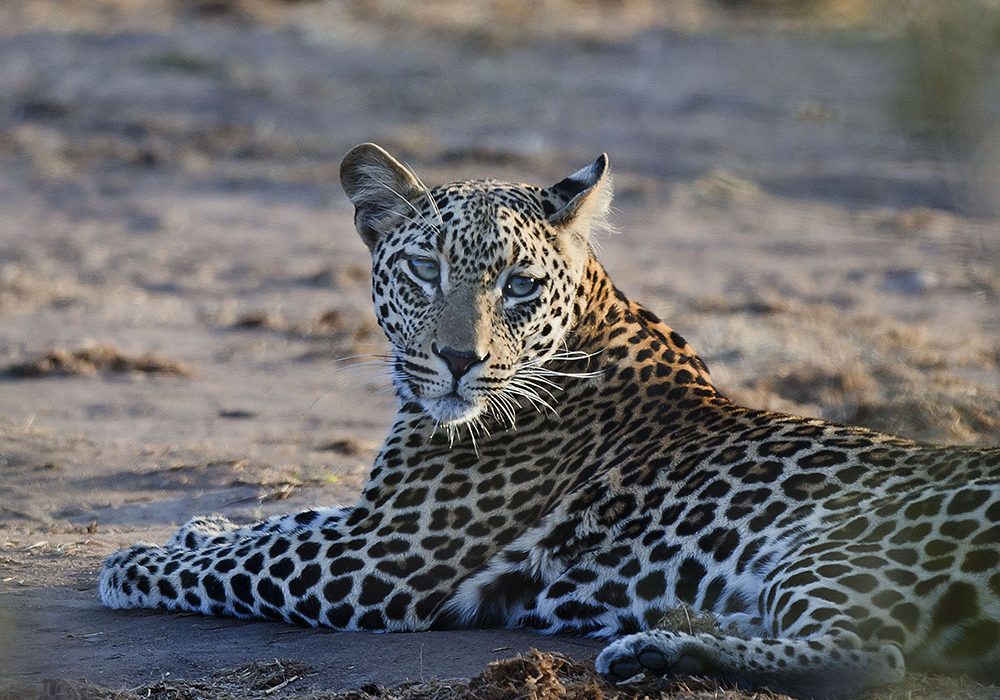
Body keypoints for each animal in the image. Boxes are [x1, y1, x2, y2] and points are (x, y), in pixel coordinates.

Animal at [100, 143, 1000, 699]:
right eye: (423, 269)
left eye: (519, 285)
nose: (458, 359)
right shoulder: (377, 514)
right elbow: (281, 522)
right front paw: (200, 525)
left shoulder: (384, 555)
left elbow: (246, 561)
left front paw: (135, 561)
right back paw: (680, 621)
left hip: (834, 544)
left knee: (871, 654)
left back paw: (657, 648)